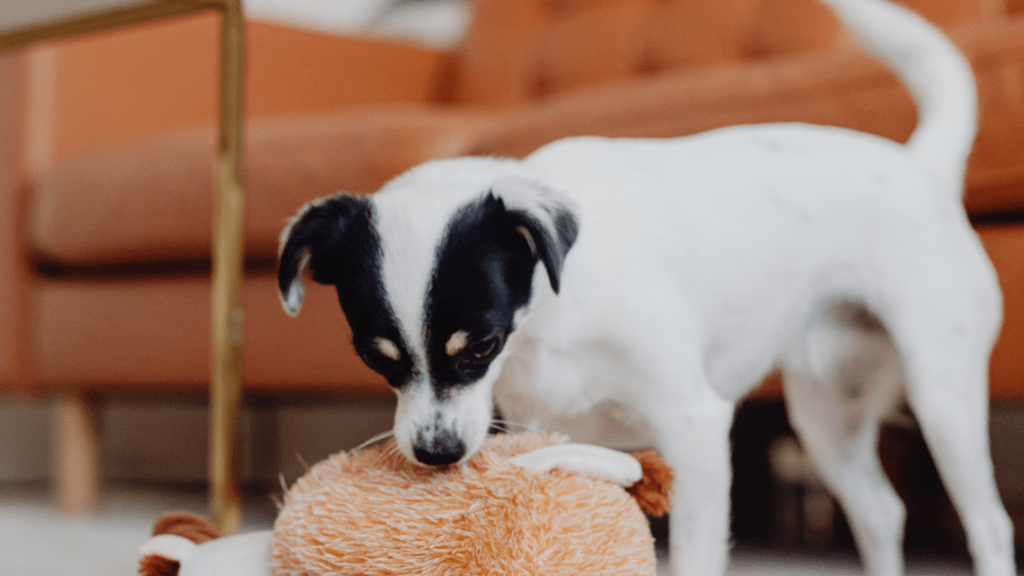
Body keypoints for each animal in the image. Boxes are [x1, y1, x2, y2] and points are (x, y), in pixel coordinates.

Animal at [274, 2, 1015, 569]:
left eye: (481, 344)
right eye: (375, 358)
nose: (436, 454)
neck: (551, 320)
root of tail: (922, 168)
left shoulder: (694, 429)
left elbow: (693, 553)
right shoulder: (542, 425)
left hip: (942, 397)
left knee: (989, 525)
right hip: (829, 414)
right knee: (883, 513)